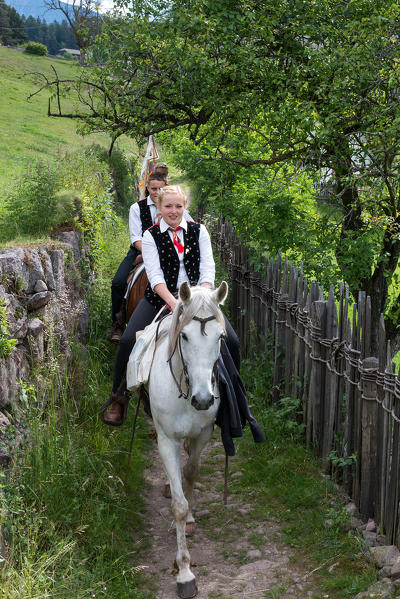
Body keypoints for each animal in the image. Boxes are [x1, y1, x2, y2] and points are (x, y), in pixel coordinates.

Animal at [148, 282, 228, 599]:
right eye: (184, 335)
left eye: (220, 337)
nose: (204, 399)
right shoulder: (166, 440)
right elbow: (179, 505)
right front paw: (184, 573)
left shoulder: (203, 435)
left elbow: (191, 474)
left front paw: (191, 519)